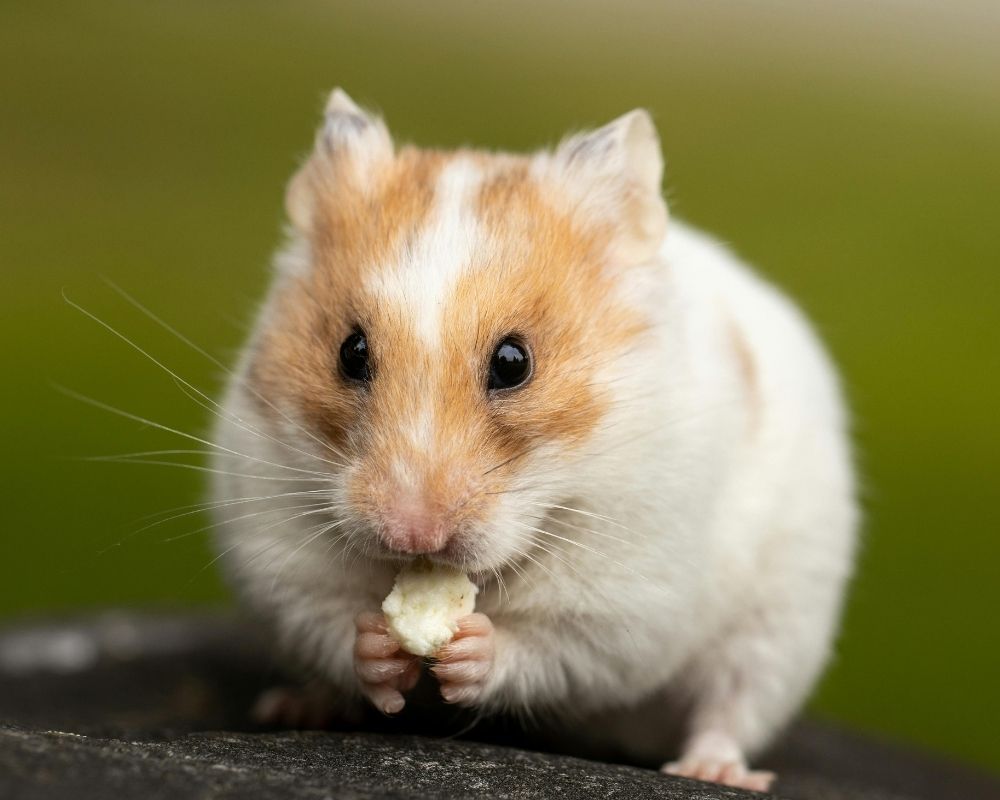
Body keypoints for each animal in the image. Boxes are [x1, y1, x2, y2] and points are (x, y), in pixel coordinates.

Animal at [210, 88, 857, 792]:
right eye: (350, 353)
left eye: (514, 362)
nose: (413, 536)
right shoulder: (279, 549)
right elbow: (330, 621)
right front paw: (380, 647)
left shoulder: (624, 601)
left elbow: (549, 649)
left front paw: (469, 649)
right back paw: (294, 707)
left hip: (780, 624)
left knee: (732, 705)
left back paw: (714, 769)